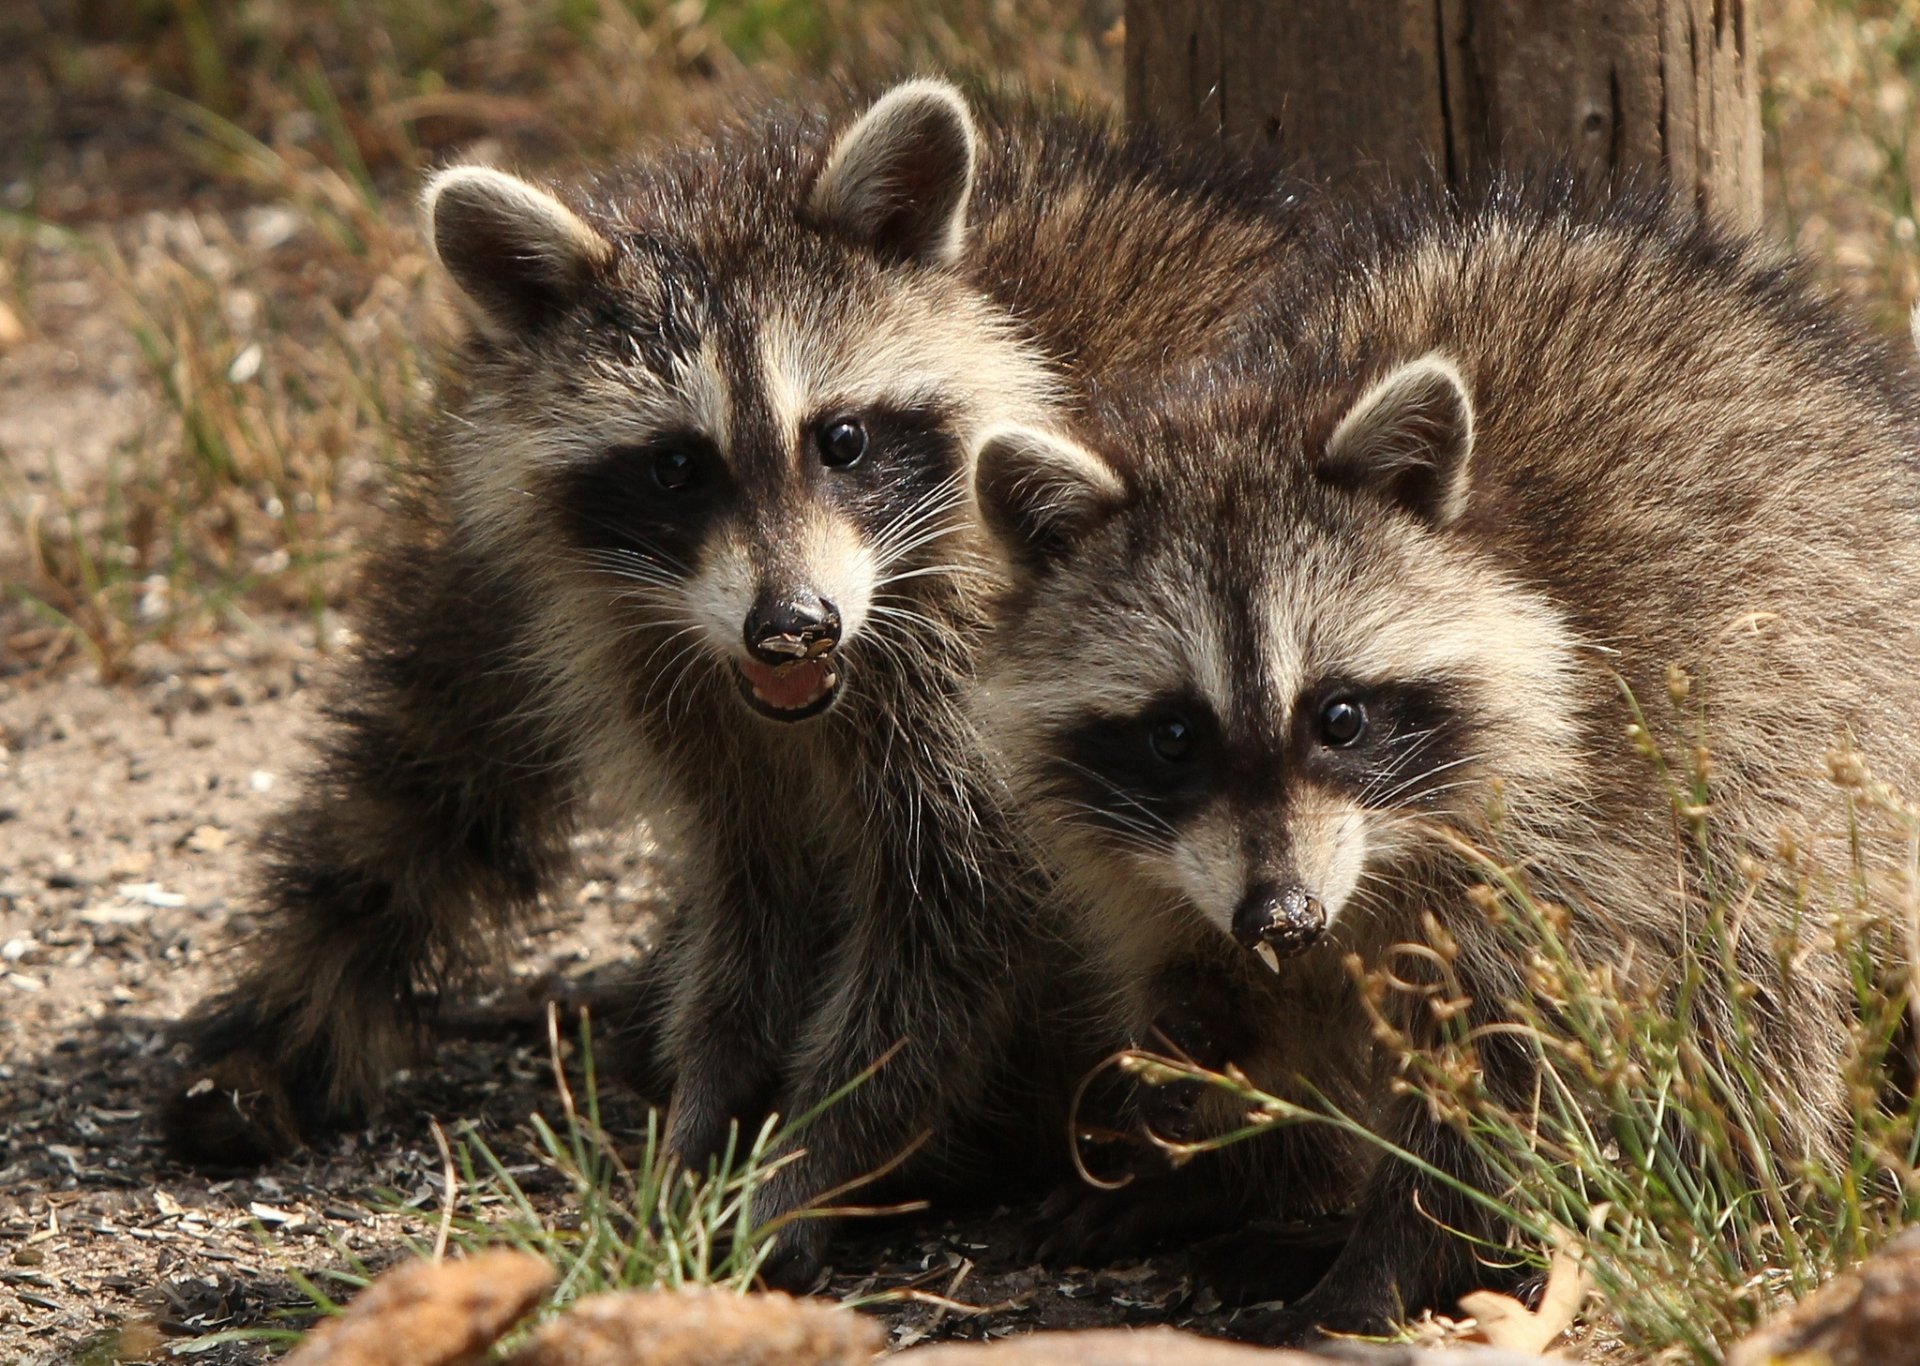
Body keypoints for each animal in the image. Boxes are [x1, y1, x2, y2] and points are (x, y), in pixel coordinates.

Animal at [160, 78, 1306, 1288]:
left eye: (842, 440)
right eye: (675, 467)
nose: (793, 625)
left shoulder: (983, 682)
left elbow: (948, 937)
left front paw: (812, 1160)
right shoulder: (673, 683)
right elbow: (754, 905)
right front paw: (708, 1118)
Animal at [969, 183, 1920, 1338]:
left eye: (1338, 716)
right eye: (1174, 734)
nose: (1282, 915)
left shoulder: (1577, 836)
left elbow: (1511, 1079)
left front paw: (1383, 1259)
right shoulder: (1165, 871)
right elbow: (1215, 1002)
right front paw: (1198, 1159)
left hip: (1815, 743)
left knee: (1757, 985)